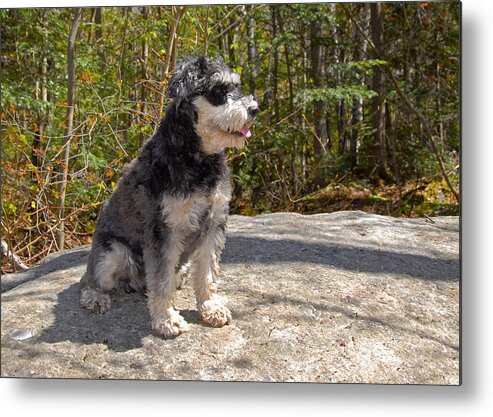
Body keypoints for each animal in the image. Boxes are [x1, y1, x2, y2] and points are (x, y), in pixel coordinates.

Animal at [80, 57, 258, 338]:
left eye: (237, 86)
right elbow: (161, 281)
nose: (254, 109)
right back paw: (96, 297)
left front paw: (211, 308)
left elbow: (208, 274)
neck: (197, 159)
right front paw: (166, 319)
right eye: (218, 91)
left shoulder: (213, 224)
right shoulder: (164, 230)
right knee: (92, 279)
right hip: (112, 253)